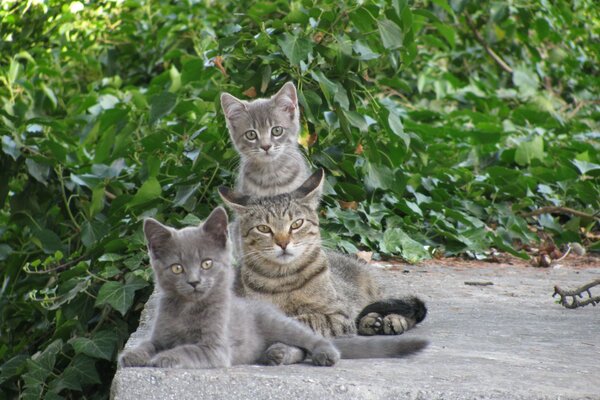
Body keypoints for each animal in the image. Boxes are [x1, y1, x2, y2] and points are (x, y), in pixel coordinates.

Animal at [219, 167, 426, 340]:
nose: (283, 243)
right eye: (263, 228)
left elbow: (307, 320)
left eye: (297, 224)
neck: (285, 279)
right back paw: (371, 321)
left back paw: (393, 320)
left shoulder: (338, 315)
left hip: (379, 291)